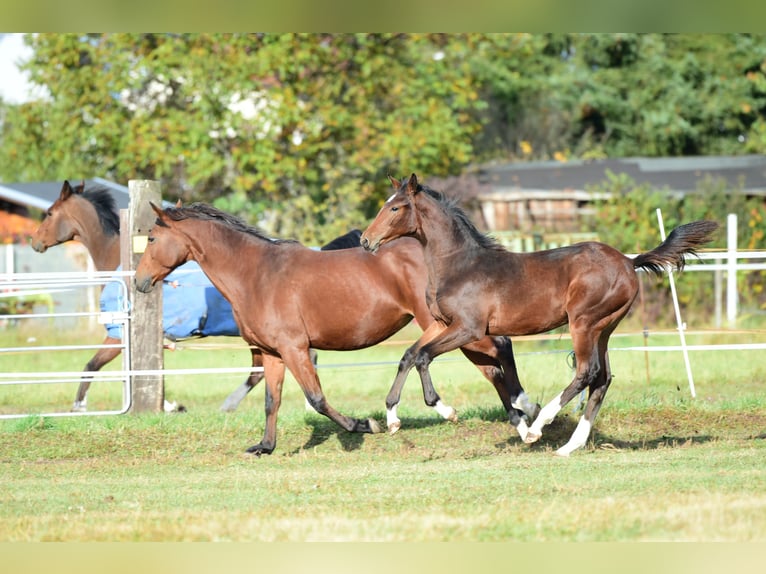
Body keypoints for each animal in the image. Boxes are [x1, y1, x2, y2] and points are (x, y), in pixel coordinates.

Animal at [134, 202, 540, 460]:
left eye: (151, 239)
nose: (139, 282)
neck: (256, 274)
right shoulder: (272, 353)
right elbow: (270, 401)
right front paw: (264, 447)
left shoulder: (295, 348)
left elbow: (317, 399)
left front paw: (365, 424)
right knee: (491, 362)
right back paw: (523, 419)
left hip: (453, 327)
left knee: (496, 351)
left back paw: (521, 412)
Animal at [362, 176, 720, 460]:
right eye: (386, 205)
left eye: (395, 208)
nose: (366, 240)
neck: (460, 265)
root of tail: (629, 262)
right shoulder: (441, 323)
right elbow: (408, 355)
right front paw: (392, 418)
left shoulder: (468, 328)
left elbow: (423, 357)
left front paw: (445, 410)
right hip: (603, 328)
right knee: (602, 379)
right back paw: (569, 446)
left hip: (583, 323)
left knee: (586, 372)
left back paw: (538, 426)